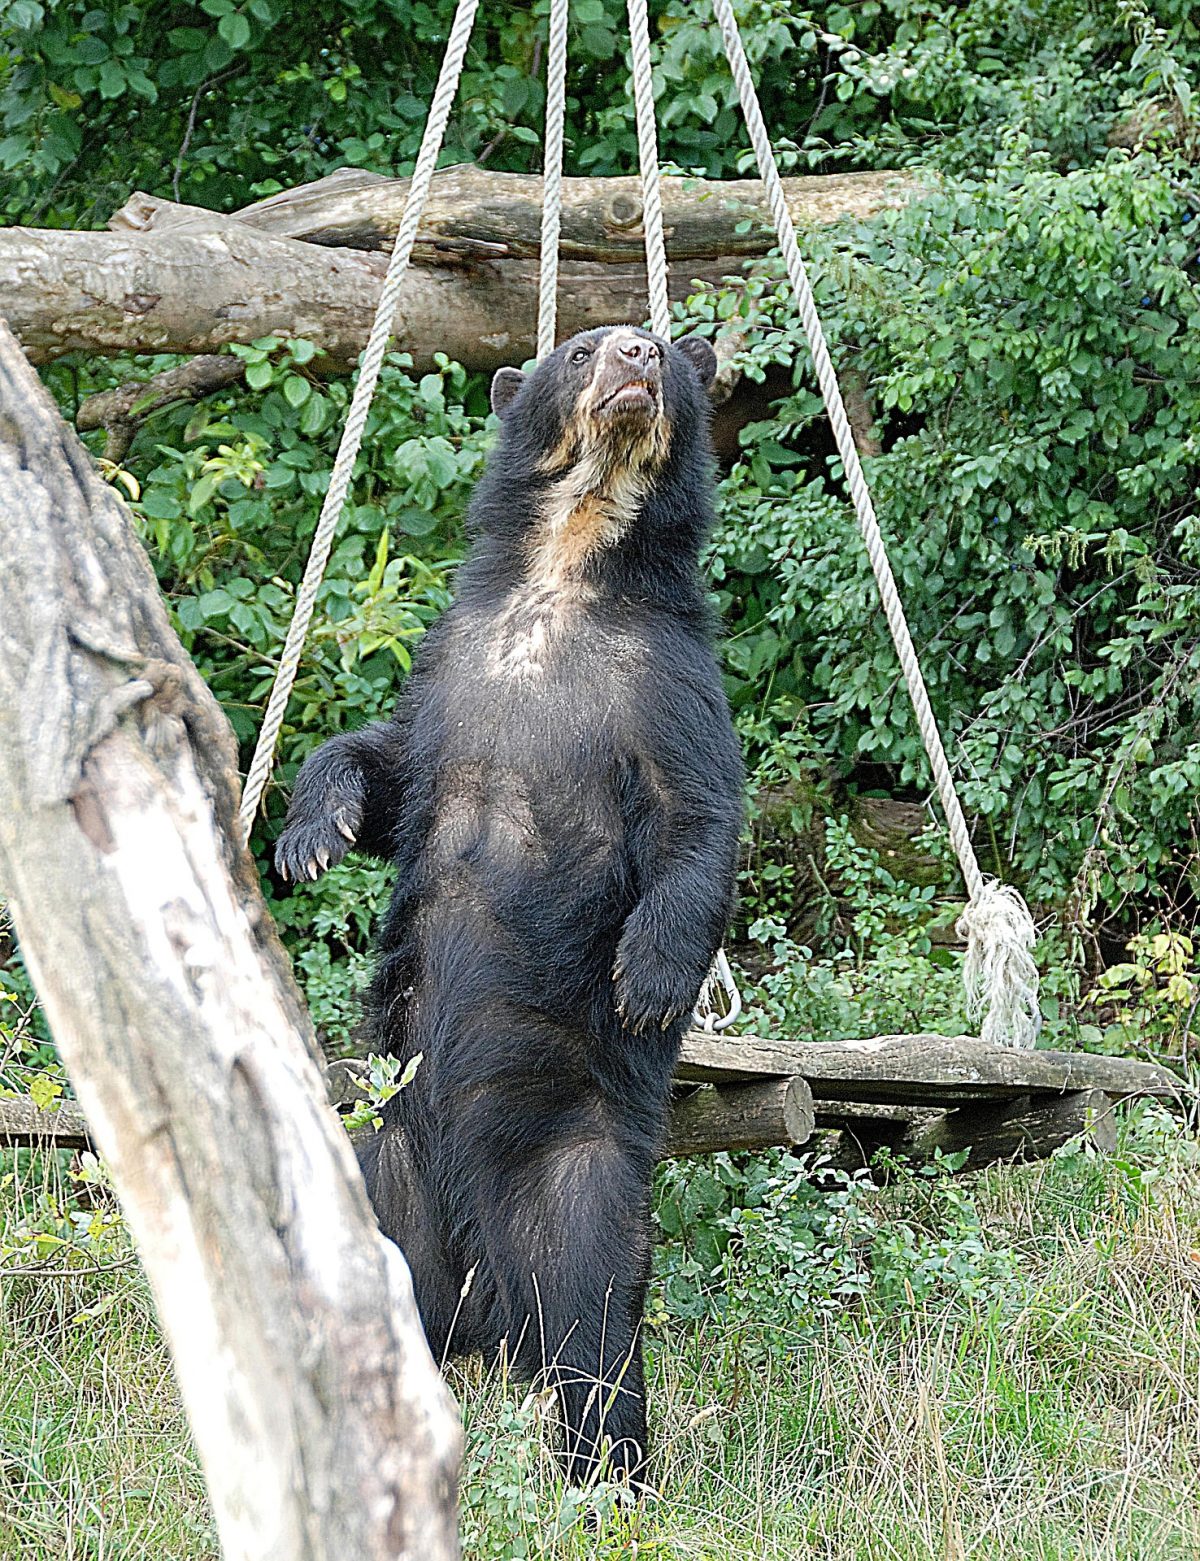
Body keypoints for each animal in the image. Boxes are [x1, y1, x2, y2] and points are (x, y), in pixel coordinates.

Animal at [277, 320, 742, 1486]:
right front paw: (311, 834)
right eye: (579, 351)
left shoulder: (668, 682)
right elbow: (388, 766)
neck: (564, 571)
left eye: (660, 348)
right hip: (377, 1161)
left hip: (577, 1172)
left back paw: (606, 1474)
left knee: (591, 1328)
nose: (633, 354)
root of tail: (475, 1288)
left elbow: (700, 818)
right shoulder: (453, 664)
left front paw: (650, 977)